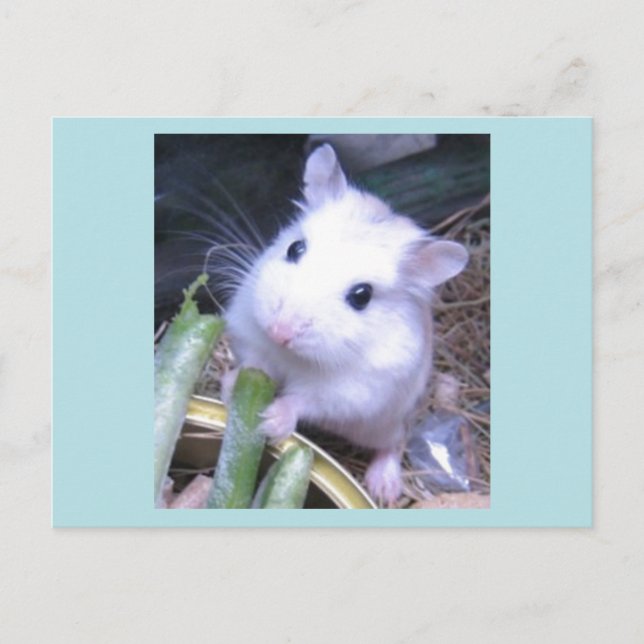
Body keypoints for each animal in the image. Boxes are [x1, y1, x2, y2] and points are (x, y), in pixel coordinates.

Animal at [224, 144, 468, 505]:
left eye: (362, 296)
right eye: (295, 248)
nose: (280, 333)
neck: (292, 357)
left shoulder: (347, 392)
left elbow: (304, 400)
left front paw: (270, 421)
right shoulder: (250, 337)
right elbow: (253, 364)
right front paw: (228, 387)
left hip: (383, 423)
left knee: (395, 443)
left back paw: (384, 488)